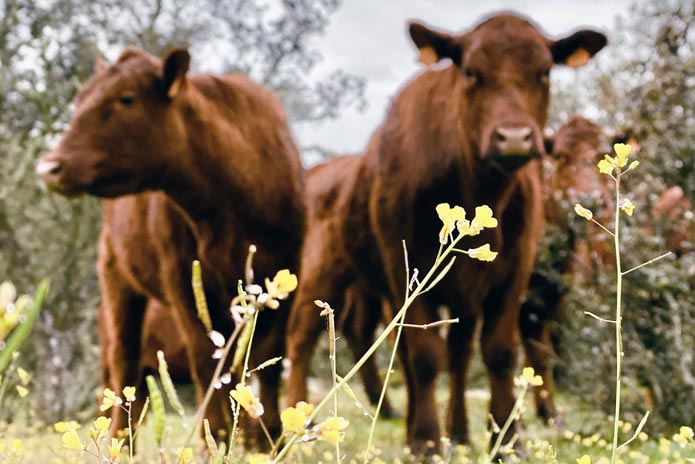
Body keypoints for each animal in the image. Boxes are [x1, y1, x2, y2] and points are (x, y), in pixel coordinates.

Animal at [36, 47, 304, 442]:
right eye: (79, 99)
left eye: (126, 98)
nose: (49, 168)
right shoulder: (182, 281)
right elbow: (206, 361)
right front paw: (217, 438)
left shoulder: (284, 273)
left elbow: (265, 362)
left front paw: (265, 441)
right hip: (117, 282)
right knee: (124, 371)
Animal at [286, 11, 608, 456]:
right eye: (471, 71)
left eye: (544, 72)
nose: (513, 137)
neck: (476, 189)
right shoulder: (406, 269)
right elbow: (424, 357)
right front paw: (425, 441)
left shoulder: (510, 277)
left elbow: (498, 352)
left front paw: (506, 439)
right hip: (324, 273)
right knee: (303, 338)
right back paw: (303, 419)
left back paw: (446, 428)